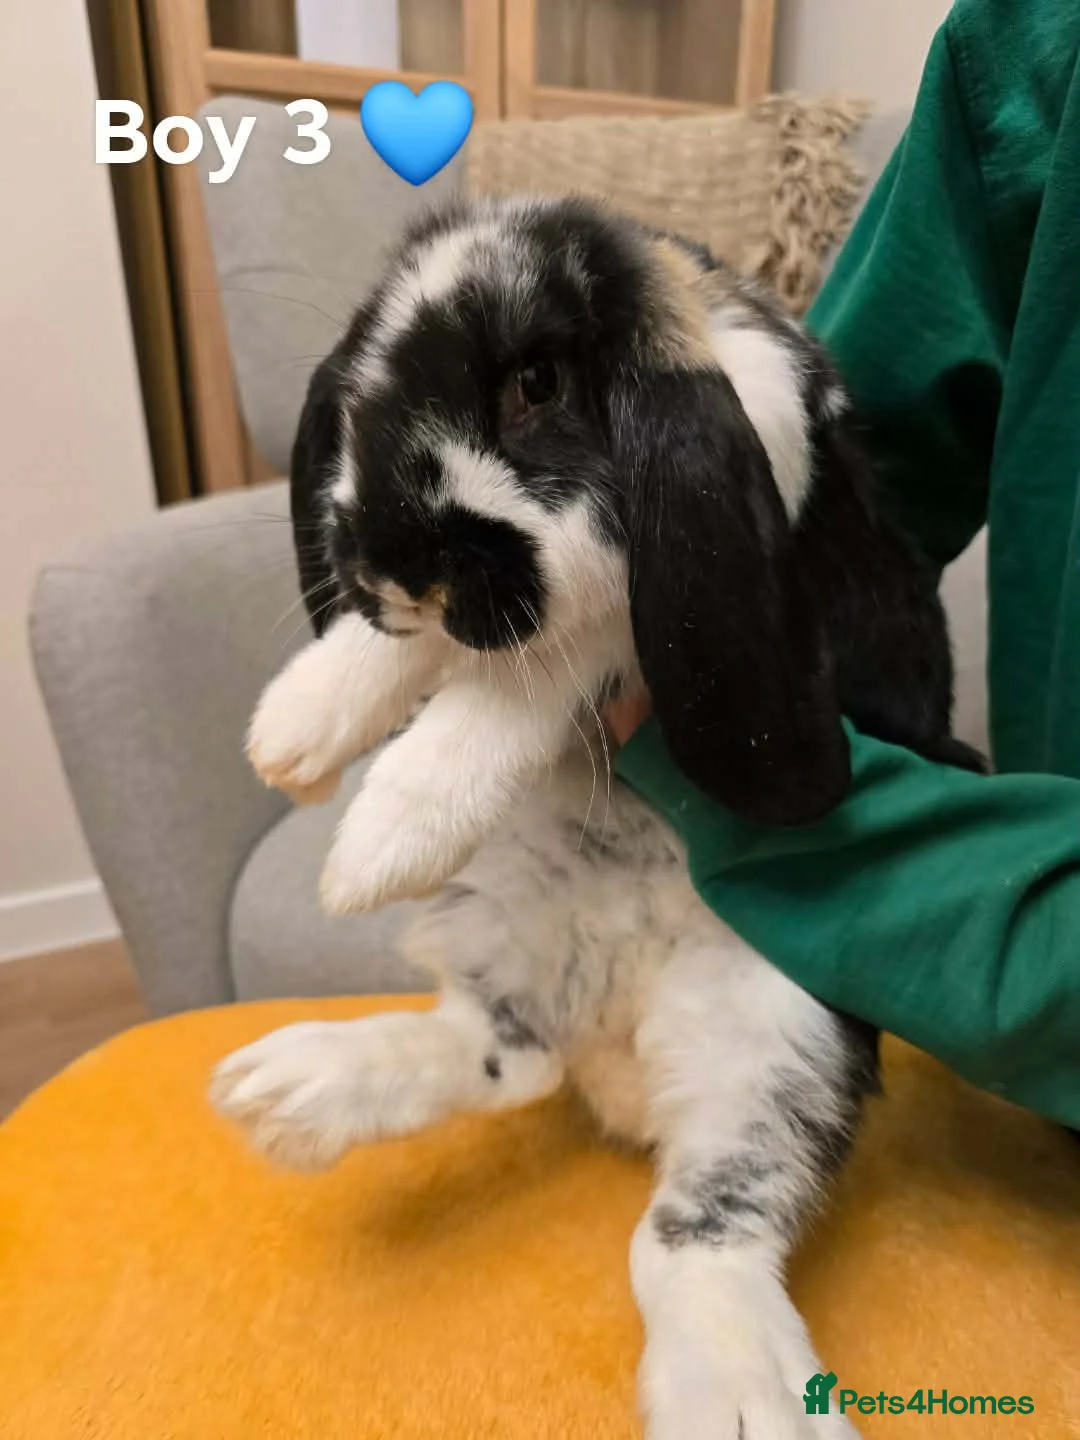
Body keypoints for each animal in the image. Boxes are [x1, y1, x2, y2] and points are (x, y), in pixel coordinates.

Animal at [212, 196, 981, 1440]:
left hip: (776, 1031)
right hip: (503, 929)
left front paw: (385, 834)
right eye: (364, 387)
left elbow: (540, 666)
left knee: (694, 1235)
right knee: (503, 1054)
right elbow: (418, 654)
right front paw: (297, 726)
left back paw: (743, 1400)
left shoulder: (646, 606)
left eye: (537, 385)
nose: (391, 563)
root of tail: (615, 1049)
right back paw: (294, 1088)